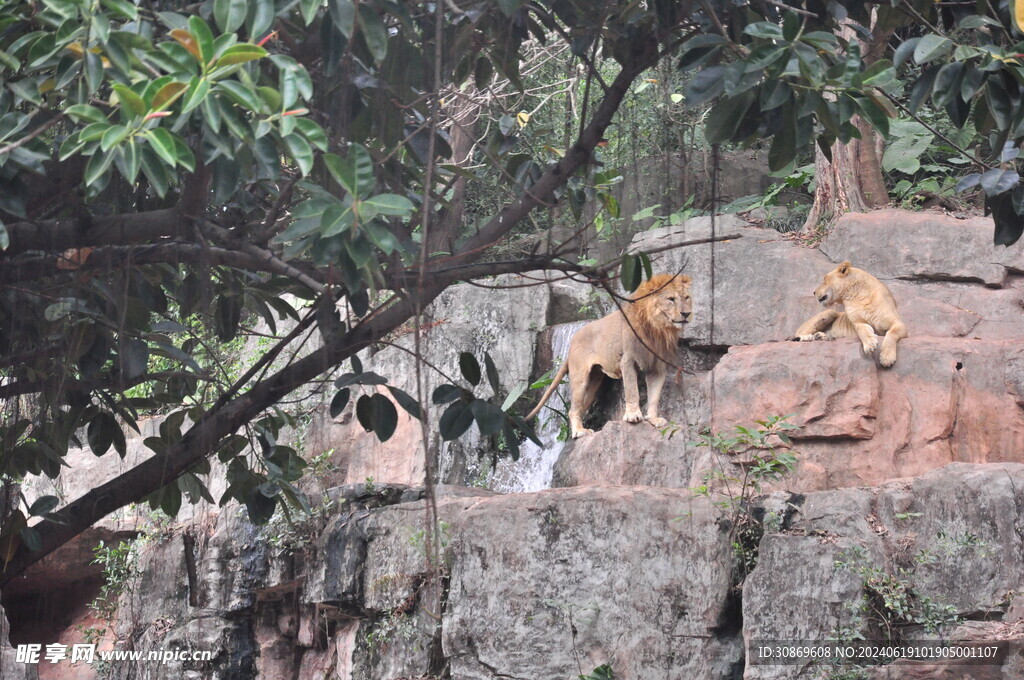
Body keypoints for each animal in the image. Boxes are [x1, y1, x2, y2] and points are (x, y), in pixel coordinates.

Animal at [532, 274, 692, 438]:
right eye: (671, 299)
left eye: (686, 298)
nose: (686, 314)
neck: (657, 329)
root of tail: (573, 339)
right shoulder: (628, 360)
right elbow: (632, 391)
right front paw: (633, 415)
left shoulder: (657, 367)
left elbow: (654, 396)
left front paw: (653, 419)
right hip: (580, 378)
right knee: (573, 409)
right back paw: (579, 431)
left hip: (593, 381)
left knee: (581, 407)